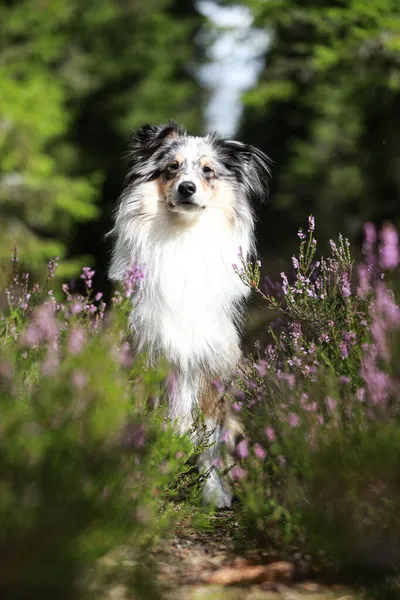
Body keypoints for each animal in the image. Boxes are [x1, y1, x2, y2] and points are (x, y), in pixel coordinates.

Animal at [108, 122, 272, 506]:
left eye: (208, 171)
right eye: (172, 168)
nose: (187, 187)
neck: (182, 236)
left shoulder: (210, 364)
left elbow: (209, 444)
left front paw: (214, 492)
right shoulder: (147, 356)